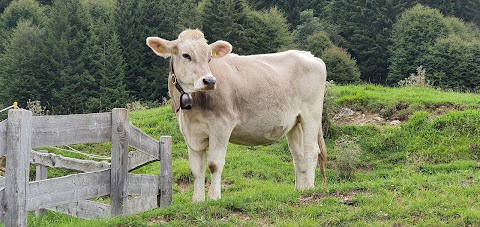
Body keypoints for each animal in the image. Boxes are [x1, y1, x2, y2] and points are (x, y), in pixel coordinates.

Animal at [145, 28, 326, 202]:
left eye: (209, 57)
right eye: (186, 55)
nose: (210, 81)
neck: (192, 110)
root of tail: (308, 55)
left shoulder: (222, 125)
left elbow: (214, 164)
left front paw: (214, 197)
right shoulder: (191, 133)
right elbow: (196, 169)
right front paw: (197, 200)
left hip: (311, 115)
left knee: (311, 151)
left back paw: (310, 187)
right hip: (295, 123)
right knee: (298, 155)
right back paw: (300, 189)